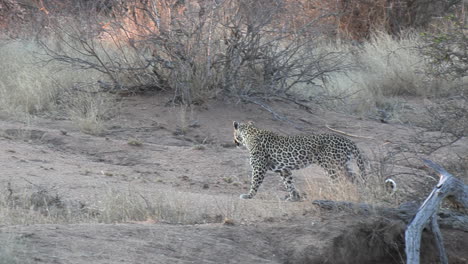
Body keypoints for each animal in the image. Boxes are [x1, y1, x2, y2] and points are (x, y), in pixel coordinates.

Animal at [233, 120, 366, 201]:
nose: (235, 142)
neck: (249, 134)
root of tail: (347, 140)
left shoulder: (259, 167)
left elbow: (255, 182)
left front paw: (248, 195)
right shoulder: (284, 170)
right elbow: (289, 183)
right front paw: (294, 198)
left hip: (332, 166)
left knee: (339, 181)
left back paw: (336, 195)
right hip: (344, 165)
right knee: (356, 179)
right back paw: (359, 194)